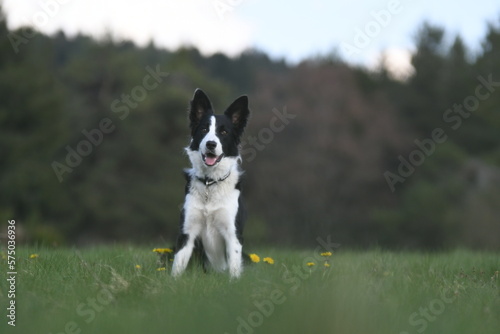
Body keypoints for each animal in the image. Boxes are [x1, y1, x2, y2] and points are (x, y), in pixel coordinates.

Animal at [172, 88, 250, 280]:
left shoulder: (233, 233)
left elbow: (234, 267)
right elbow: (178, 264)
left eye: (224, 132)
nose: (211, 144)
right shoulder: (187, 231)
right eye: (204, 129)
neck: (210, 183)